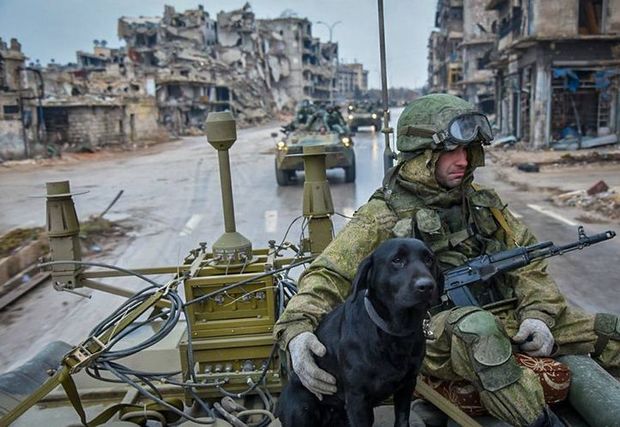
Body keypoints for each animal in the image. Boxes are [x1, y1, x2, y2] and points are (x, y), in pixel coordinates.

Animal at [278, 238, 441, 427]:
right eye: (397, 260)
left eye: (429, 260)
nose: (427, 286)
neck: (395, 333)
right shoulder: (357, 399)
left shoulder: (407, 385)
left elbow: (402, 419)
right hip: (300, 404)